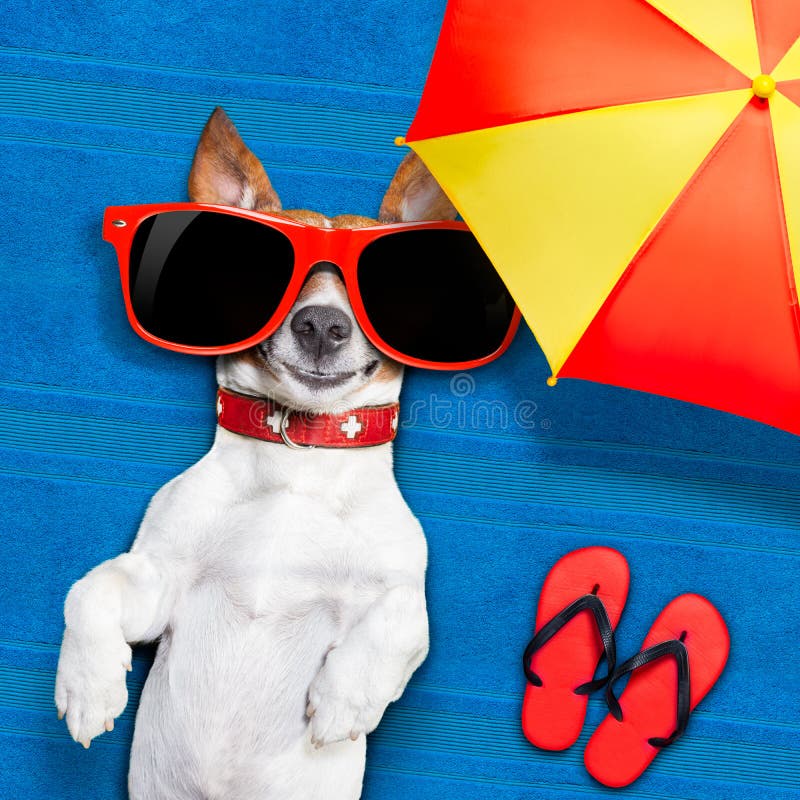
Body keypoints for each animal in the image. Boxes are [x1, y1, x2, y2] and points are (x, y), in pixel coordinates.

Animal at [54, 108, 456, 800]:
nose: (321, 325)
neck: (298, 462)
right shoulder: (159, 584)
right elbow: (91, 588)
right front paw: (88, 687)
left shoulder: (403, 591)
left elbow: (407, 618)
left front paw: (345, 699)